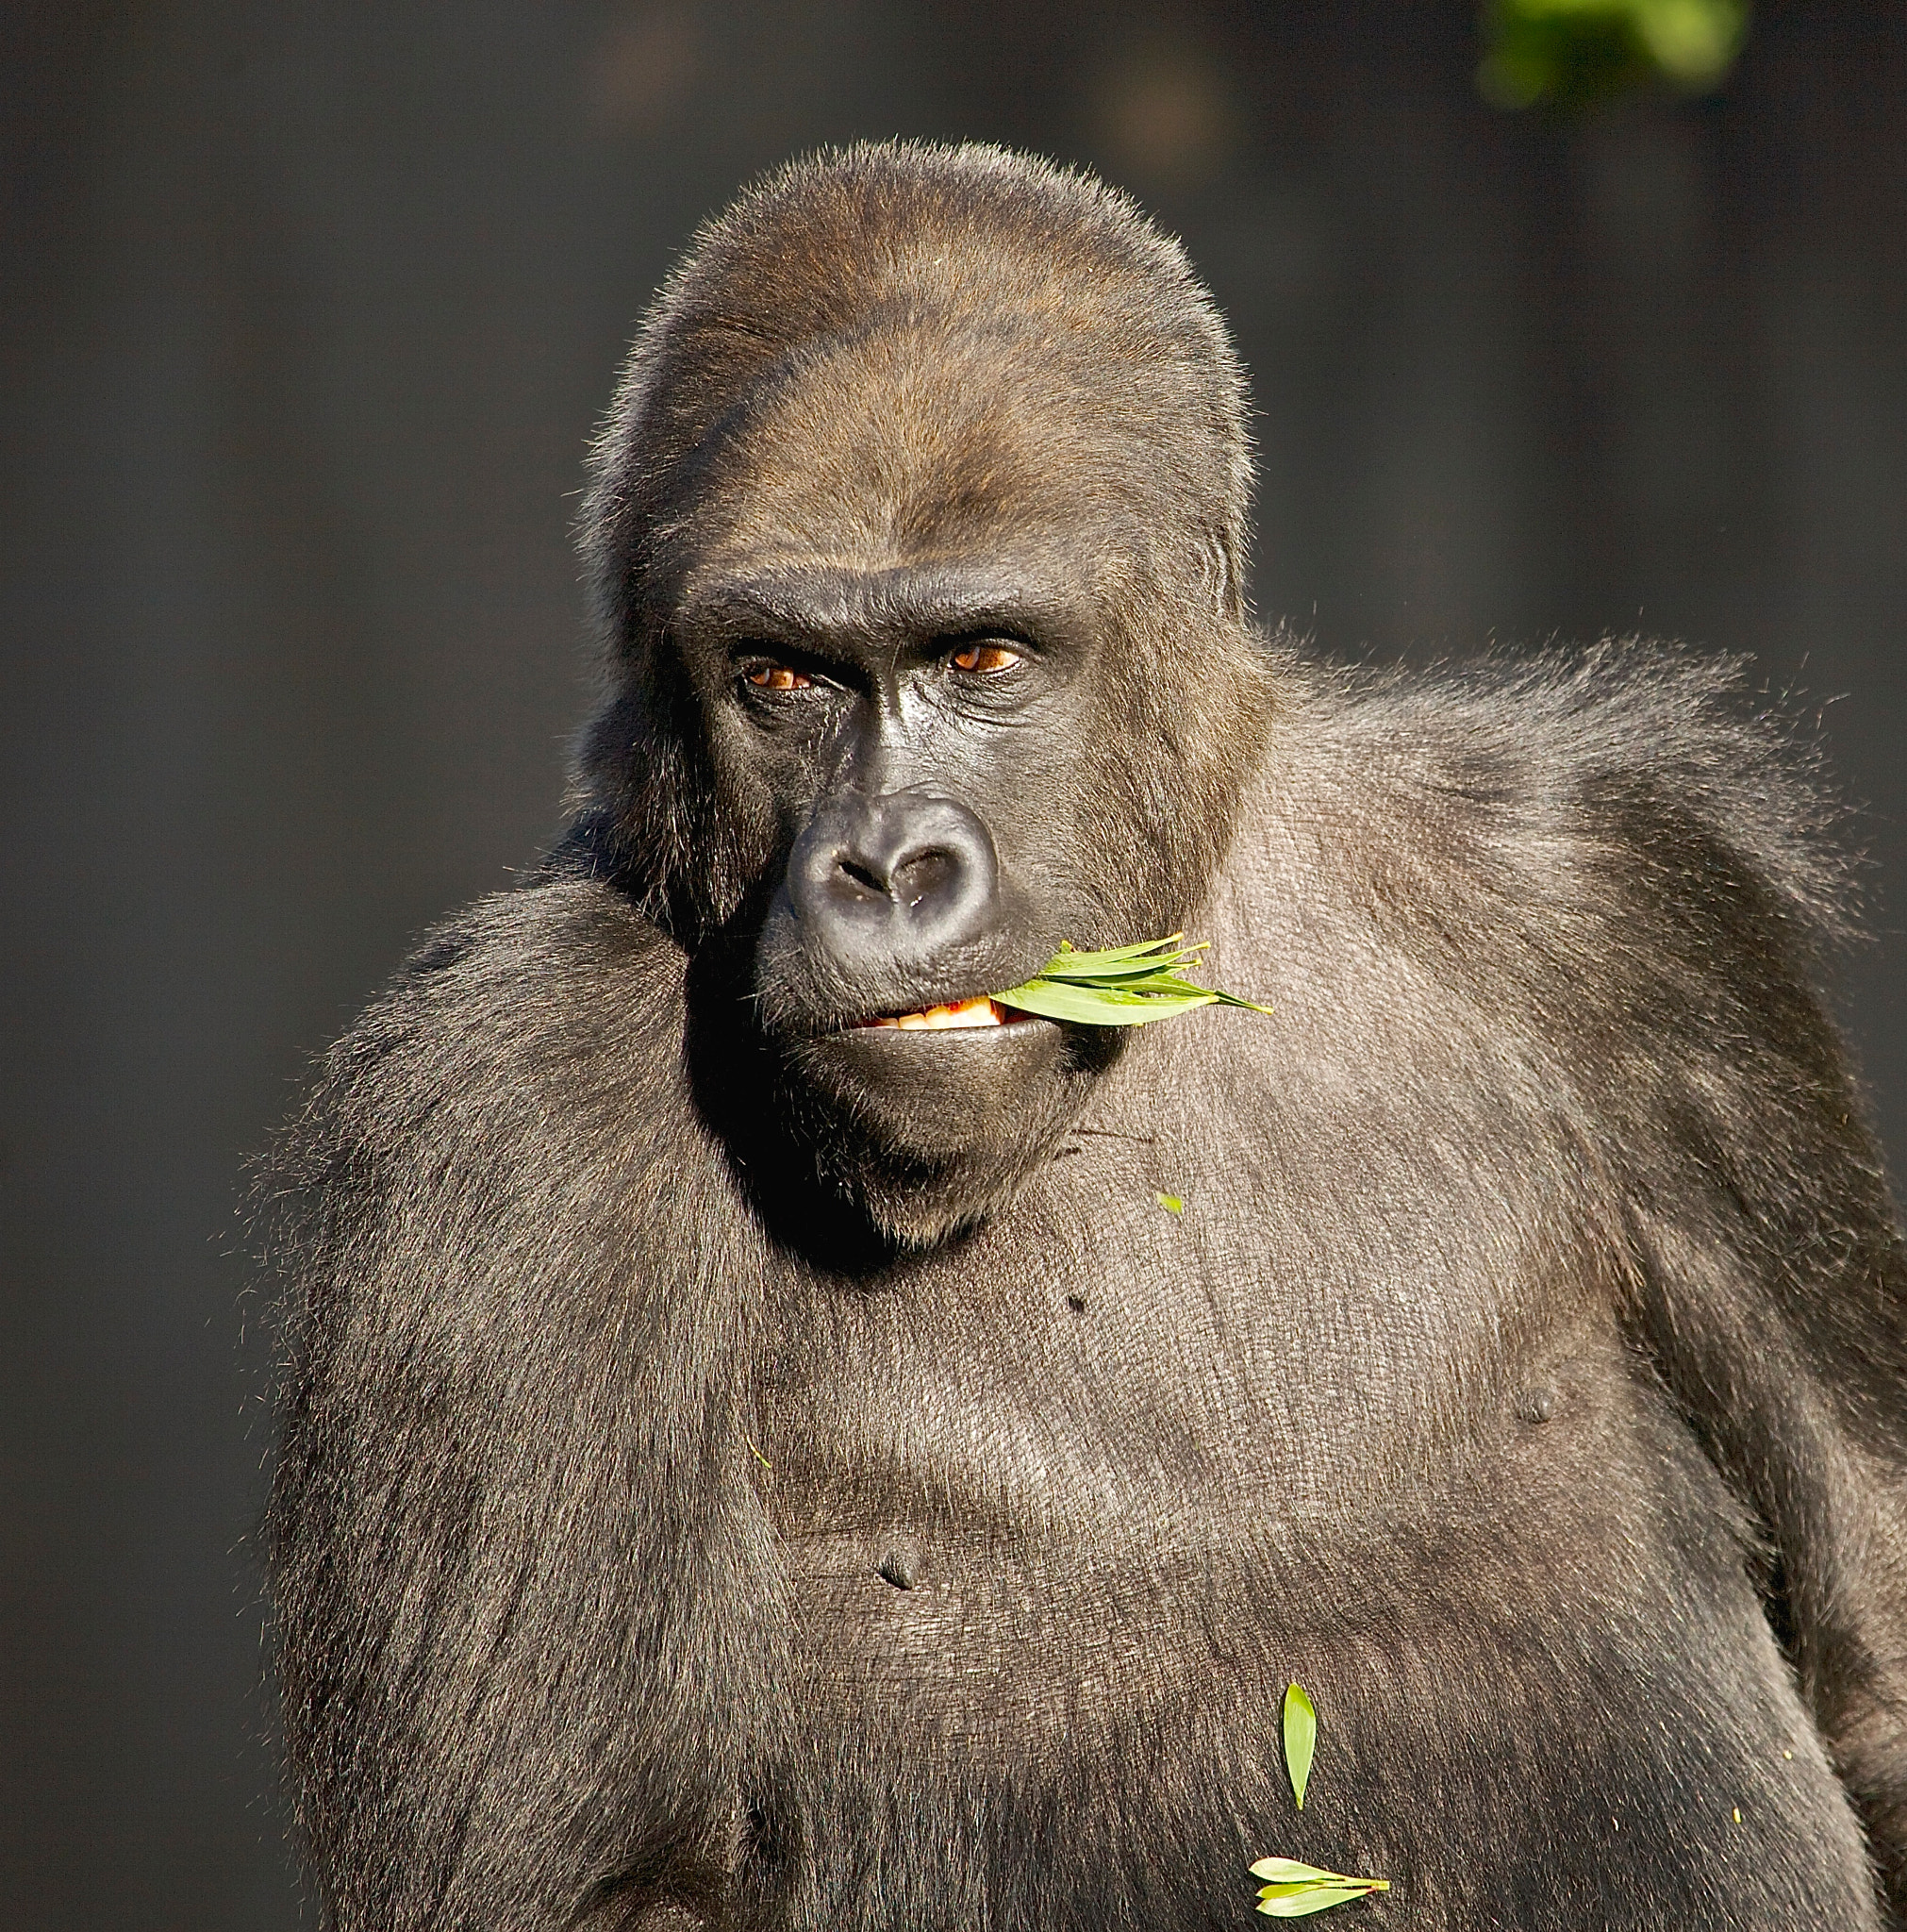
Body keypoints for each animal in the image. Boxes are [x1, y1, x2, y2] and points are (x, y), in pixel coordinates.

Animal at [266, 141, 1907, 1930]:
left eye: (980, 656)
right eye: (779, 677)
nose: (883, 866)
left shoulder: (1615, 901)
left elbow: (1880, 1633)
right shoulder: (500, 1101)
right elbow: (588, 1882)